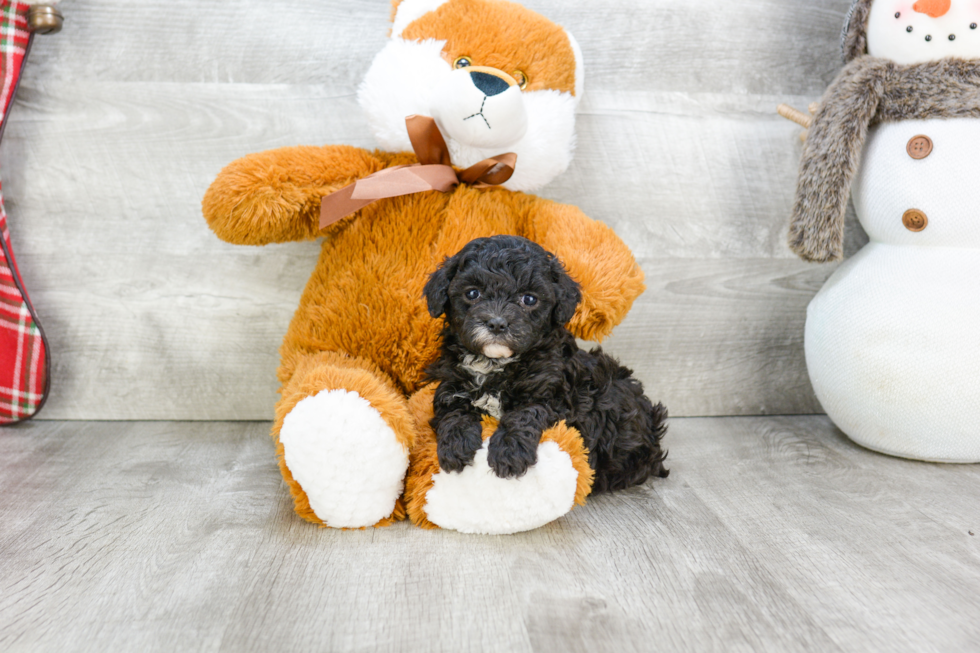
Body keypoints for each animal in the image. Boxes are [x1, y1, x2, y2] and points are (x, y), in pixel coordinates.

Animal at [422, 232, 668, 492]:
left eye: (529, 299)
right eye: (472, 293)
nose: (497, 323)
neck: (495, 363)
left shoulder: (553, 396)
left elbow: (525, 414)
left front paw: (509, 452)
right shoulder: (451, 385)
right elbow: (453, 410)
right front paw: (456, 445)